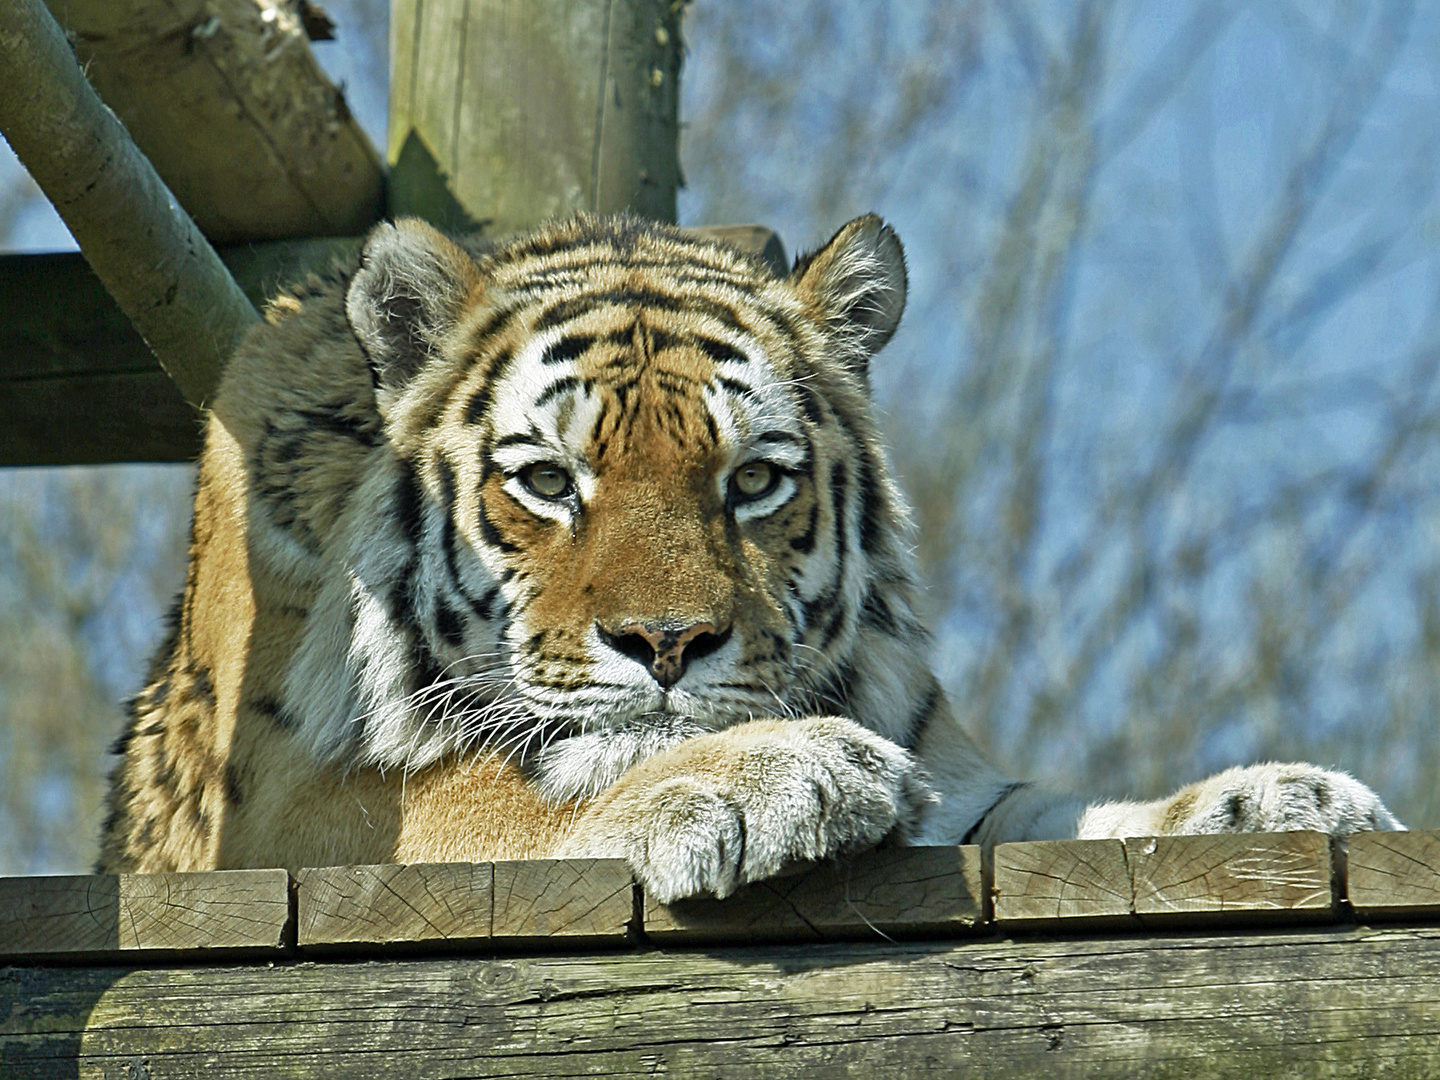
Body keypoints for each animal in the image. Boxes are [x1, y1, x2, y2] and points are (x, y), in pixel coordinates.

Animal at [95, 213, 1399, 904]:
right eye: (548, 482)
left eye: (755, 480)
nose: (667, 644)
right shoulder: (287, 810)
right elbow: (486, 793)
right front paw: (769, 773)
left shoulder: (963, 779)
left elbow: (1064, 813)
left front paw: (1275, 799)